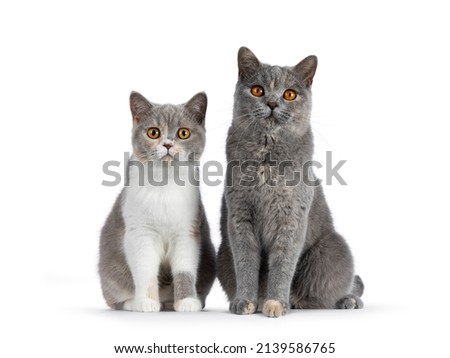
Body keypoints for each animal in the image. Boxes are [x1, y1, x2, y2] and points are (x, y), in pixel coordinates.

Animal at [98, 91, 216, 312]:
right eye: (153, 132)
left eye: (184, 133)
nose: (168, 144)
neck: (164, 183)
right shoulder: (140, 232)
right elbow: (145, 270)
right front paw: (146, 302)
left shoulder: (187, 232)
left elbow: (185, 270)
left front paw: (186, 301)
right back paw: (132, 303)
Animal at [216, 46, 364, 316]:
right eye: (257, 90)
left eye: (290, 94)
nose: (273, 103)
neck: (267, 156)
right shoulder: (240, 215)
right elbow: (245, 262)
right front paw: (246, 301)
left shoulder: (291, 216)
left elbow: (283, 262)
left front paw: (275, 302)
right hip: (222, 256)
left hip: (332, 249)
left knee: (334, 289)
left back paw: (347, 300)